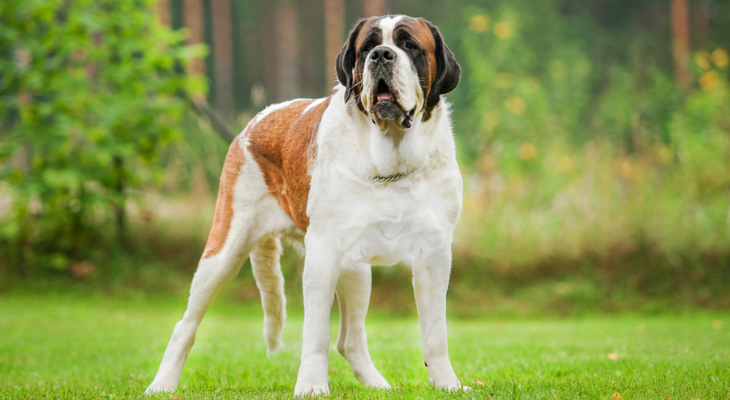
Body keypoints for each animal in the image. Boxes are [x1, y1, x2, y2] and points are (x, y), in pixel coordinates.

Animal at [146, 14, 460, 396]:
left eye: (410, 46)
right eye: (367, 48)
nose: (382, 55)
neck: (389, 161)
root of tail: (256, 121)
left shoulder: (434, 253)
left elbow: (436, 332)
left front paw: (447, 384)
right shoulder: (323, 253)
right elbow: (315, 332)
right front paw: (311, 385)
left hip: (356, 270)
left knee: (350, 340)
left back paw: (377, 385)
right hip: (223, 251)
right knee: (186, 324)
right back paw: (161, 384)